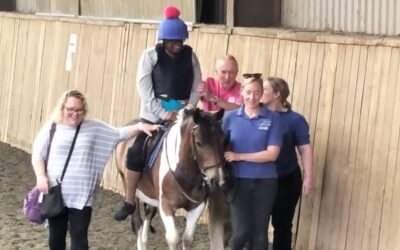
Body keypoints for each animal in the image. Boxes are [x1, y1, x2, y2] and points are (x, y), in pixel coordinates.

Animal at [115, 108, 228, 249]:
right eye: (198, 143)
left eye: (223, 141)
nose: (217, 181)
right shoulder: (166, 206)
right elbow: (173, 239)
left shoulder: (197, 206)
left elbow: (188, 238)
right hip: (130, 188)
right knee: (137, 224)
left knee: (148, 216)